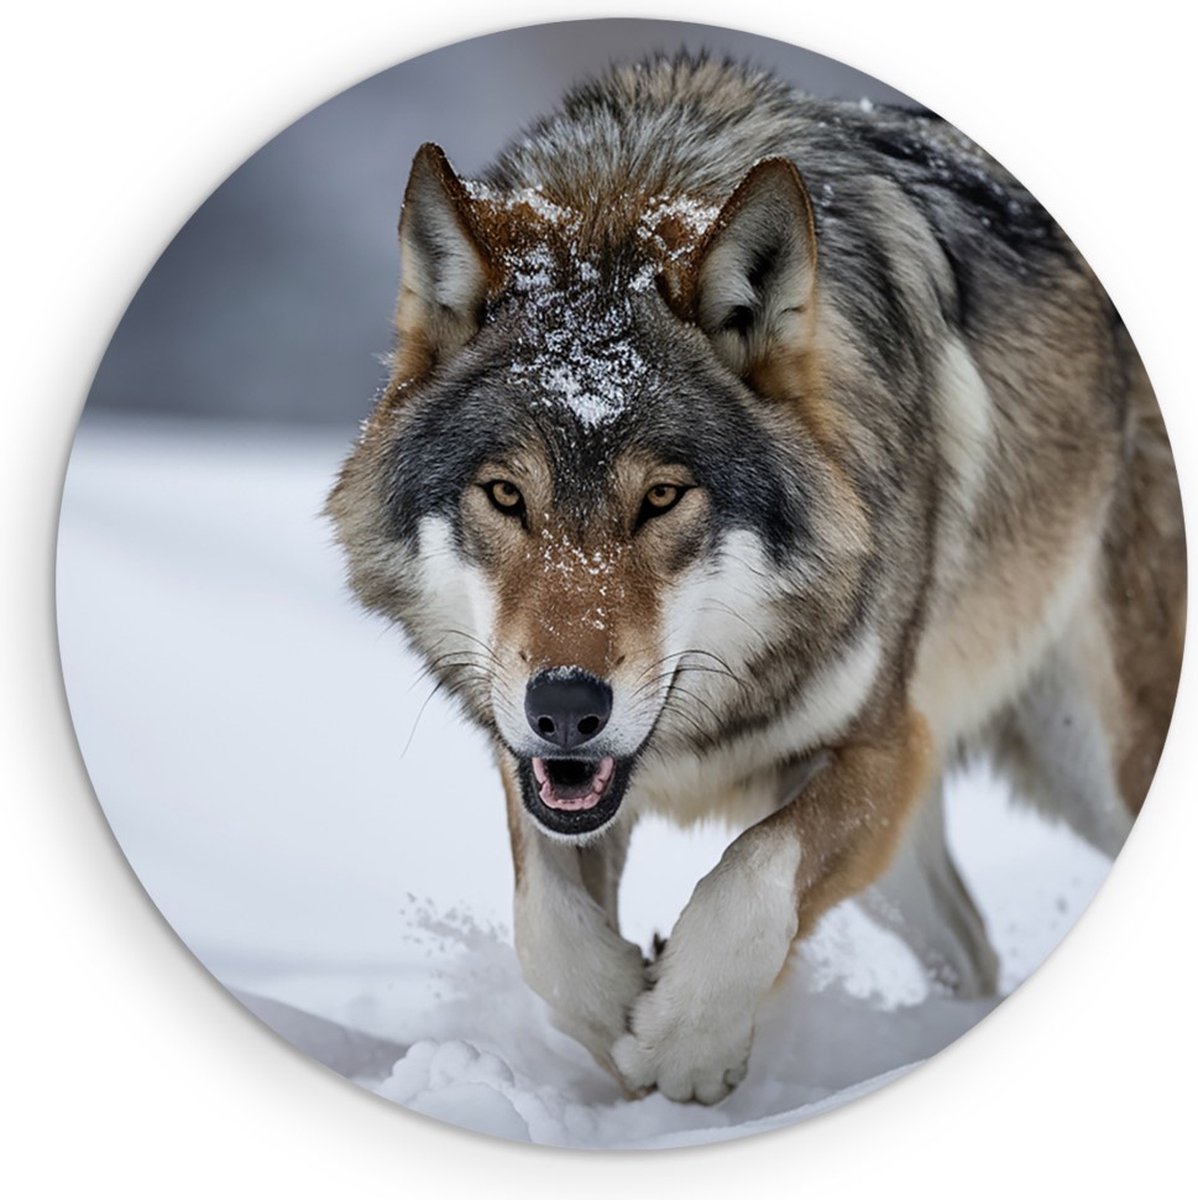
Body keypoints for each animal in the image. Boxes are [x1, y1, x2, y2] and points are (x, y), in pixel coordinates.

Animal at [327, 53, 1185, 1104]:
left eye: (661, 497)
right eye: (505, 495)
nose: (565, 706)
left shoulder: (886, 745)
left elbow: (750, 871)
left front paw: (684, 1042)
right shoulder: (530, 765)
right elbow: (547, 931)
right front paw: (620, 1016)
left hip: (1094, 766)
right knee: (972, 948)